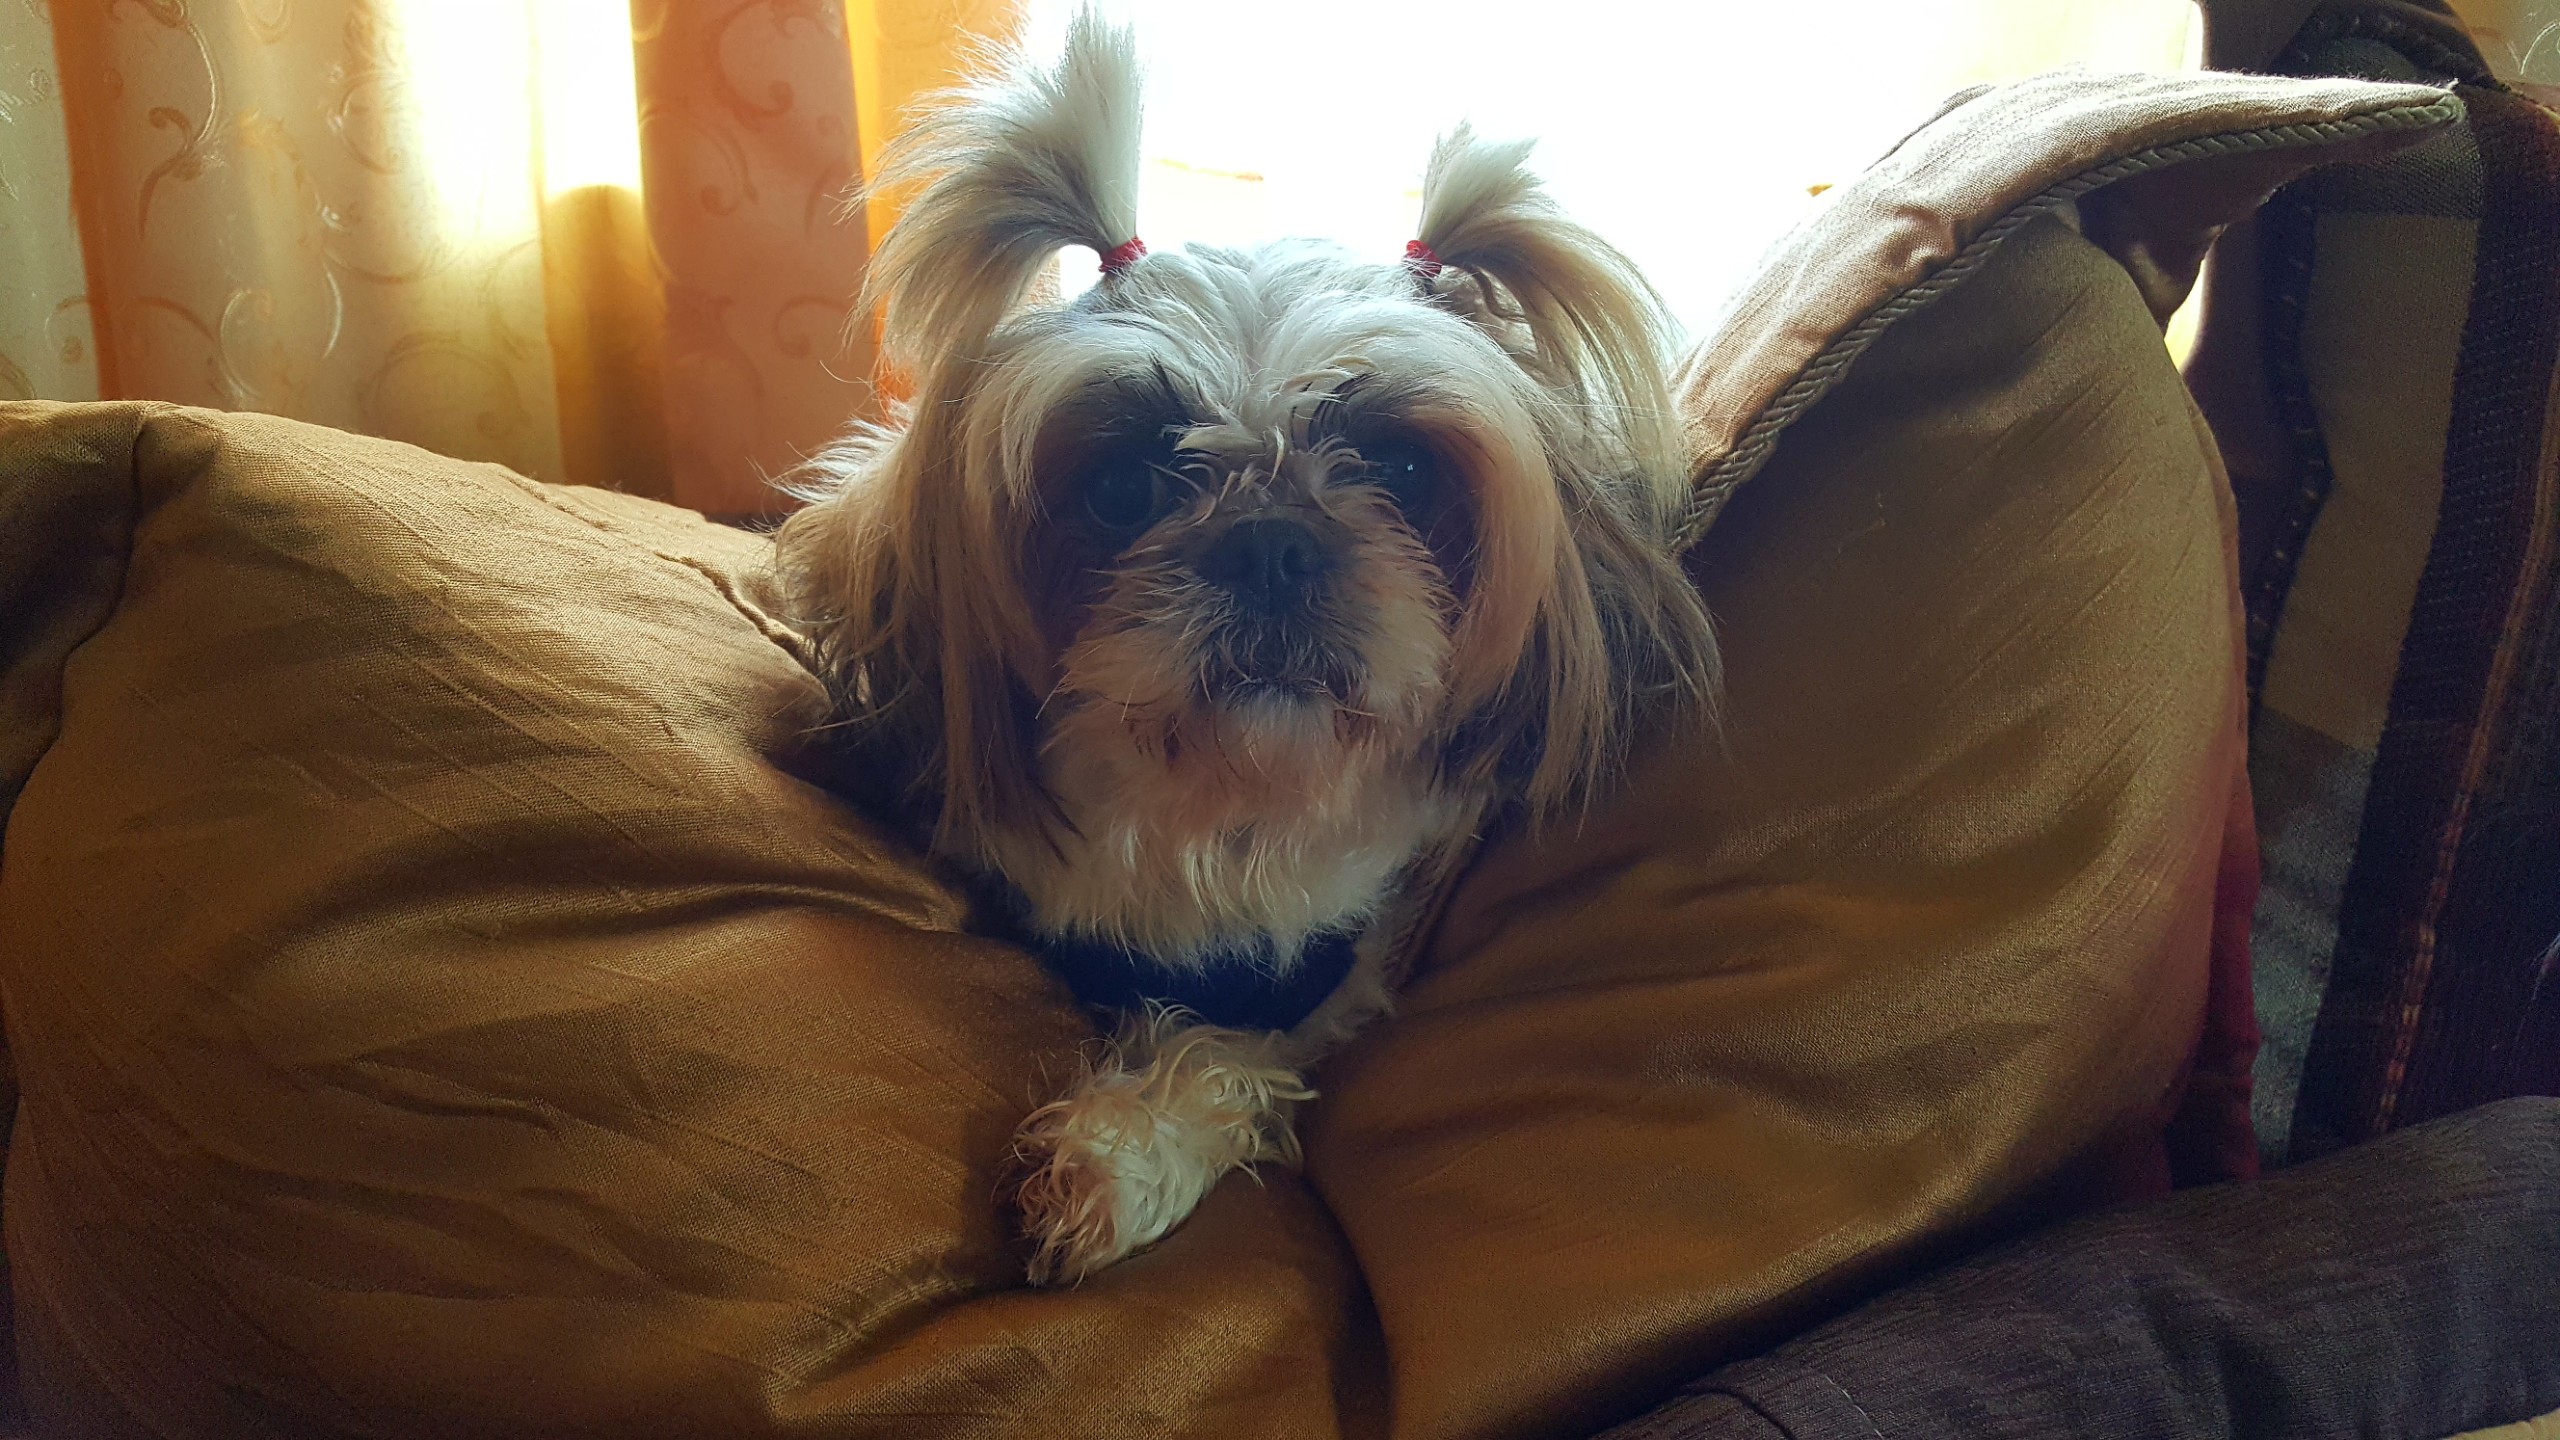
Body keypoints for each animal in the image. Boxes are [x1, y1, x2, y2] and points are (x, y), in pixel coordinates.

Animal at [777, 8, 1717, 1285]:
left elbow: (1235, 1057)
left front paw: (1116, 1162)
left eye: (1401, 470)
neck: (1218, 820)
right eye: (1123, 489)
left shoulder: (1321, 988)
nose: (1272, 543)